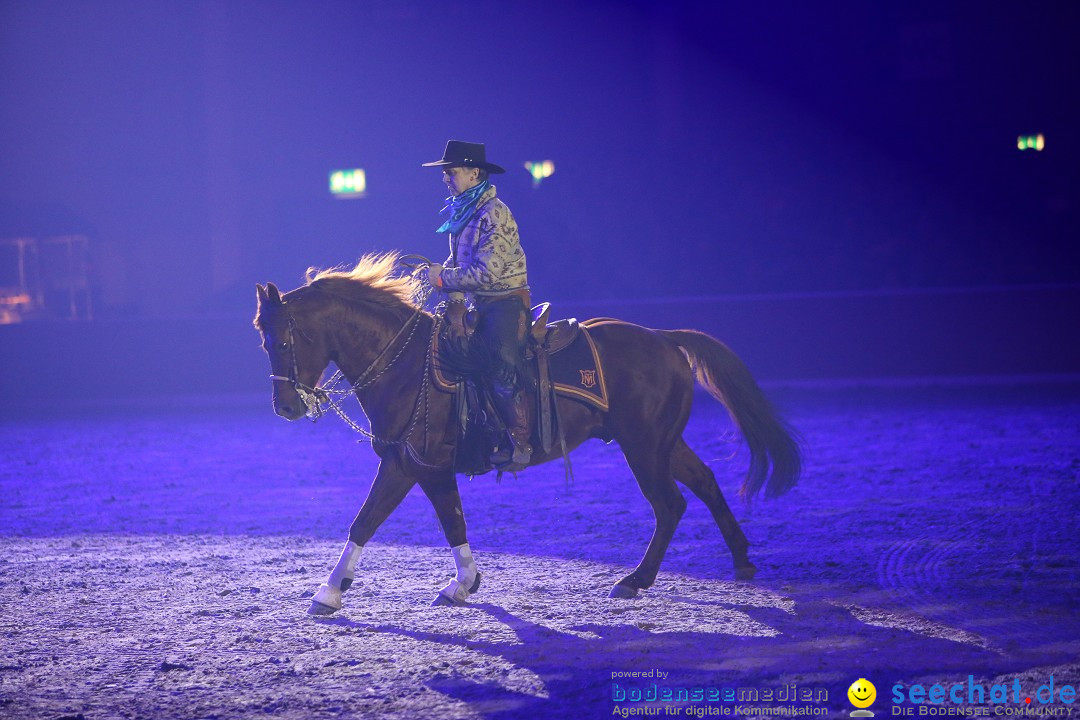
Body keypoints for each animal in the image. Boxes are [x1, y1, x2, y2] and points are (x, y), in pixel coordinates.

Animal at [252, 252, 803, 613]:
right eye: (262, 340)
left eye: (284, 340)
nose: (285, 408)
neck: (409, 366)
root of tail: (665, 339)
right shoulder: (424, 466)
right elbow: (451, 522)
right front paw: (463, 584)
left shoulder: (409, 463)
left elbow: (367, 520)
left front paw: (327, 592)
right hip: (665, 441)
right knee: (705, 481)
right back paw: (741, 560)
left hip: (644, 446)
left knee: (669, 504)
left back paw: (635, 580)